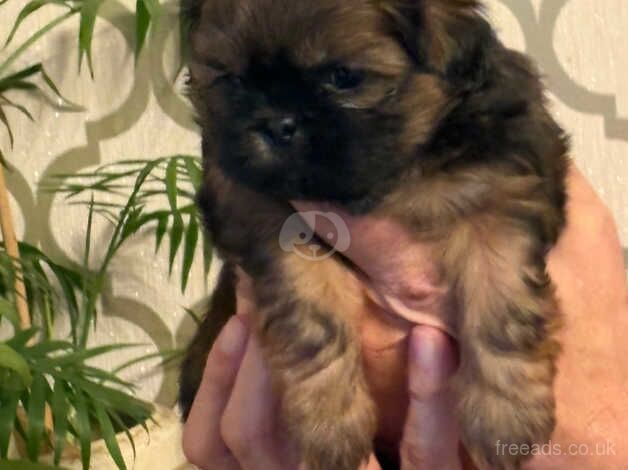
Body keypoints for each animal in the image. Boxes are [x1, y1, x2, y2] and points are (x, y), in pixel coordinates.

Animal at [178, 1, 568, 468]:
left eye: (343, 76)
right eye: (233, 82)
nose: (275, 124)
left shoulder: (500, 186)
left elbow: (501, 303)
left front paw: (504, 414)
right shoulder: (261, 211)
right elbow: (312, 317)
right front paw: (330, 421)